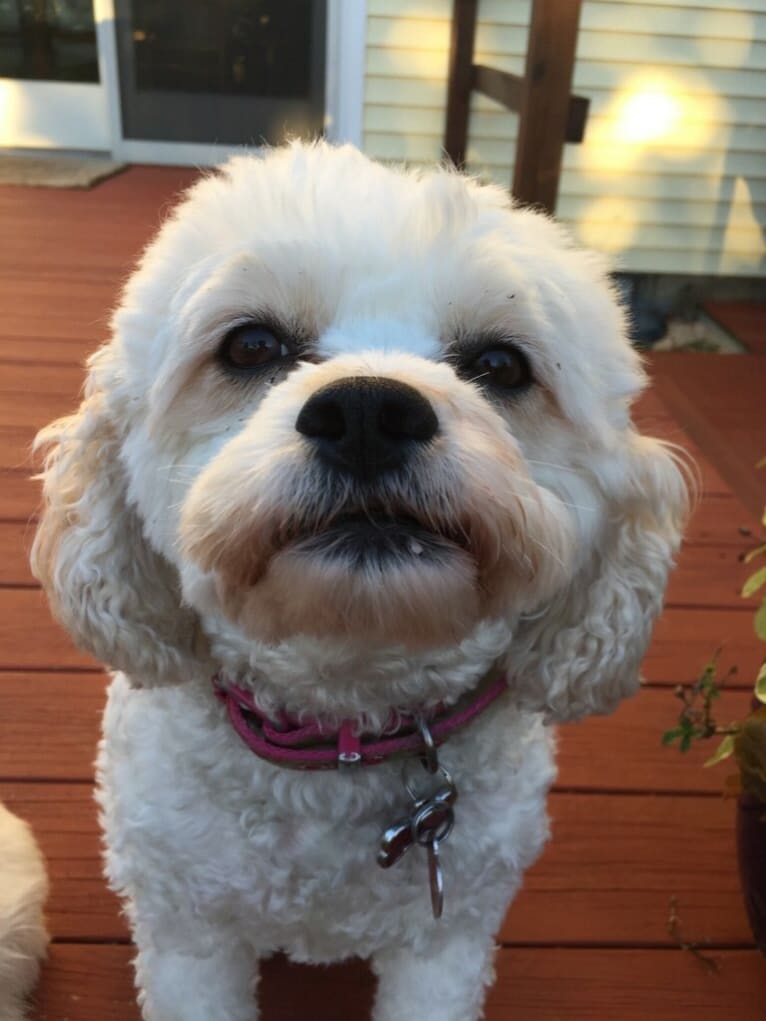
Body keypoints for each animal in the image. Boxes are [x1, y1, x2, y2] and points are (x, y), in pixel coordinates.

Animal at [31, 143, 690, 1021]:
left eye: (499, 364)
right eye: (250, 347)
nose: (370, 414)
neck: (344, 723)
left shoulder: (448, 939)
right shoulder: (188, 931)